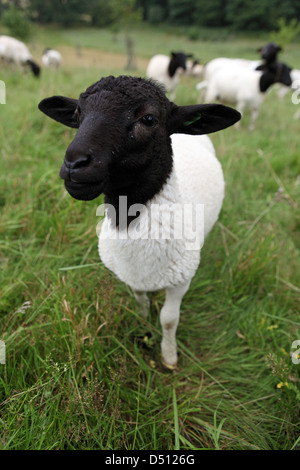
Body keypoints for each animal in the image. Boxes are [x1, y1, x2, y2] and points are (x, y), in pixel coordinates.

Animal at [38, 75, 240, 370]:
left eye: (148, 119)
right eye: (77, 114)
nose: (74, 163)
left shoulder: (181, 279)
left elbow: (169, 319)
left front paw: (169, 356)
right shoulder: (129, 274)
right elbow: (138, 295)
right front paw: (143, 316)